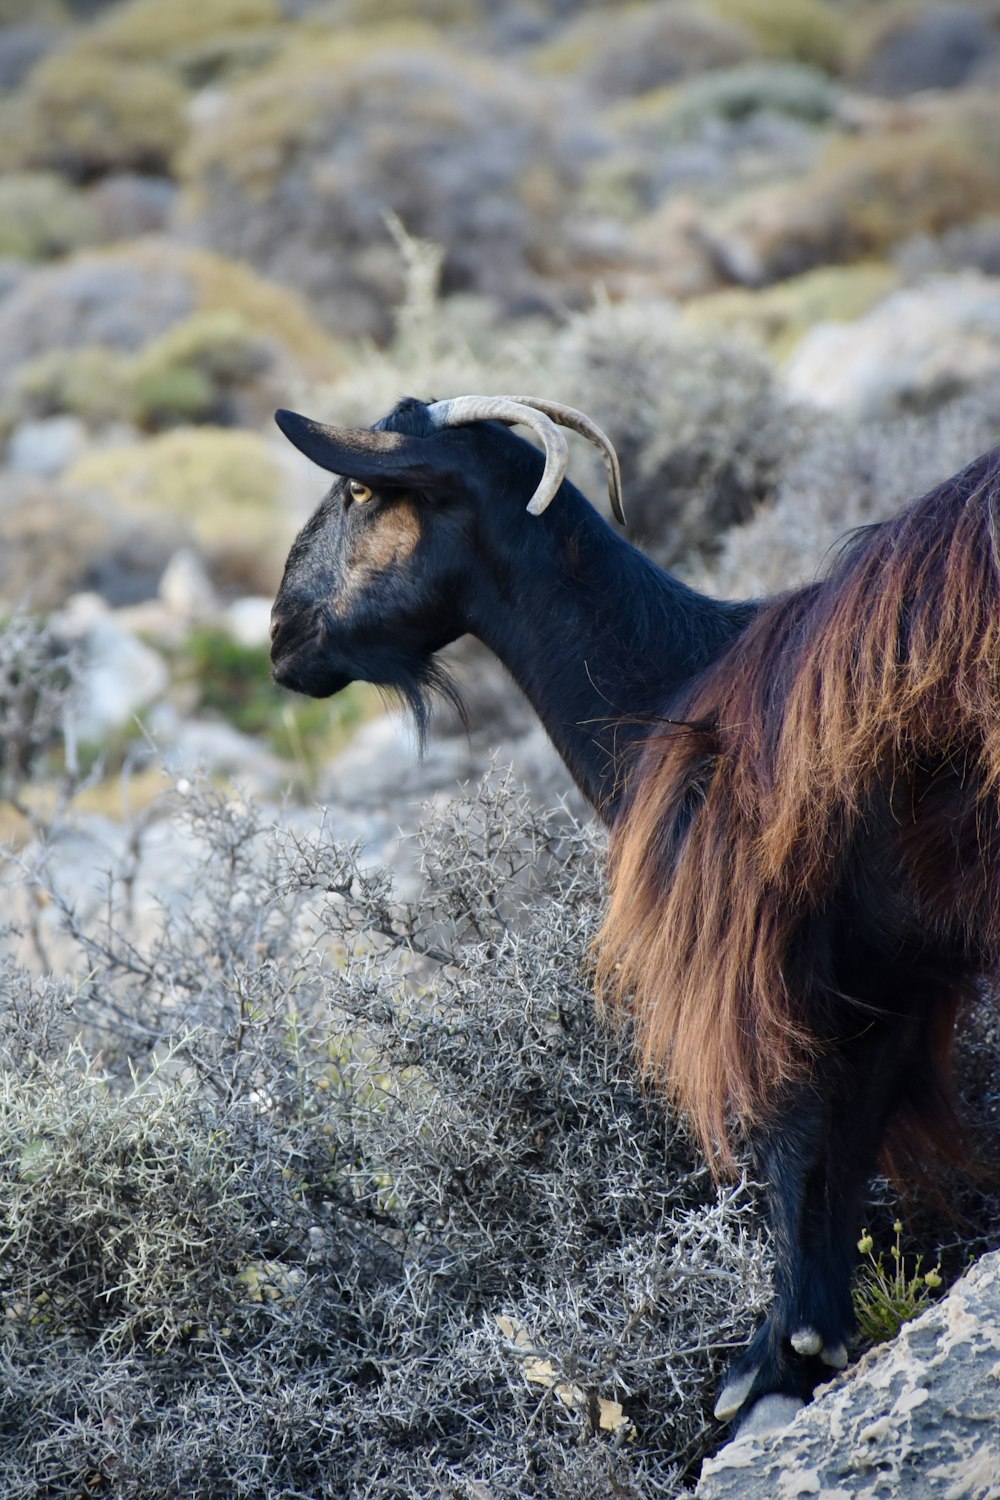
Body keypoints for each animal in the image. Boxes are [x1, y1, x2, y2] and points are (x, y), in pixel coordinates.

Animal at [269, 396, 1000, 1428]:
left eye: (363, 492)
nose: (281, 633)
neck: (674, 688)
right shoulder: (886, 970)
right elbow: (847, 1135)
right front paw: (811, 1340)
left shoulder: (759, 956)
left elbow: (790, 1134)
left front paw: (768, 1361)